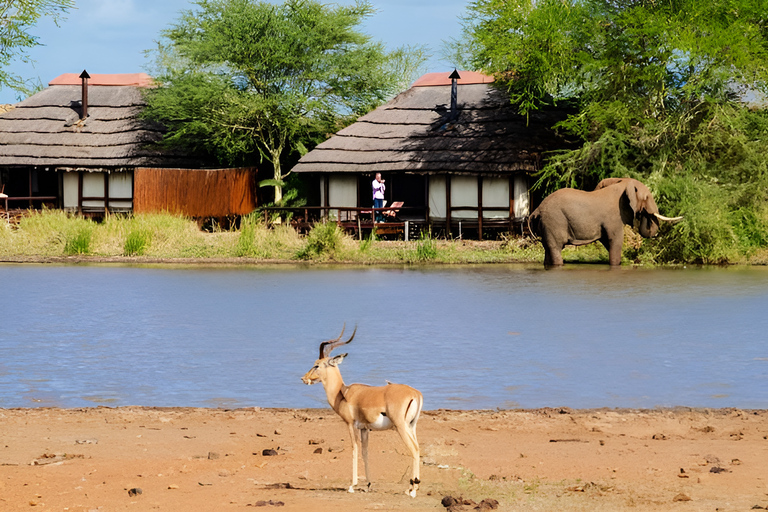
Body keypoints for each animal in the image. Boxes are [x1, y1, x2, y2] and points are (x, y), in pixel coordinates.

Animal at [528, 177, 684, 266]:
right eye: (646, 197)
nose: (644, 213)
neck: (623, 184)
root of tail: (537, 209)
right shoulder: (614, 217)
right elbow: (615, 240)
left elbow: (607, 241)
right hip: (553, 221)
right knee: (555, 248)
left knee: (547, 249)